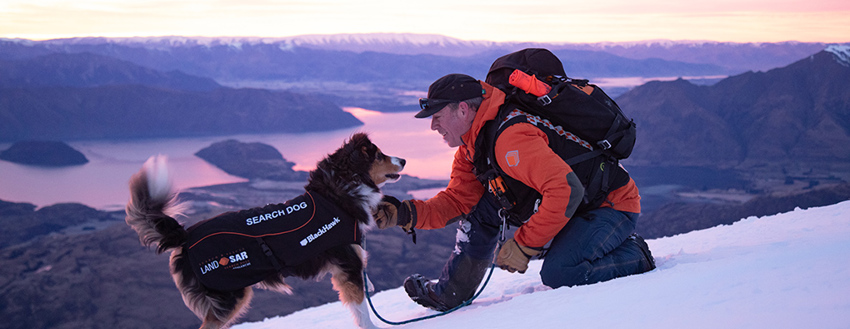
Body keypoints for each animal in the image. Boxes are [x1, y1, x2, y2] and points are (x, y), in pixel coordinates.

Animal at [125, 133, 404, 328]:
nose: (403, 160)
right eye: (378, 155)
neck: (339, 193)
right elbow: (362, 311)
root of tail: (186, 236)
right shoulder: (348, 267)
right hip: (229, 296)